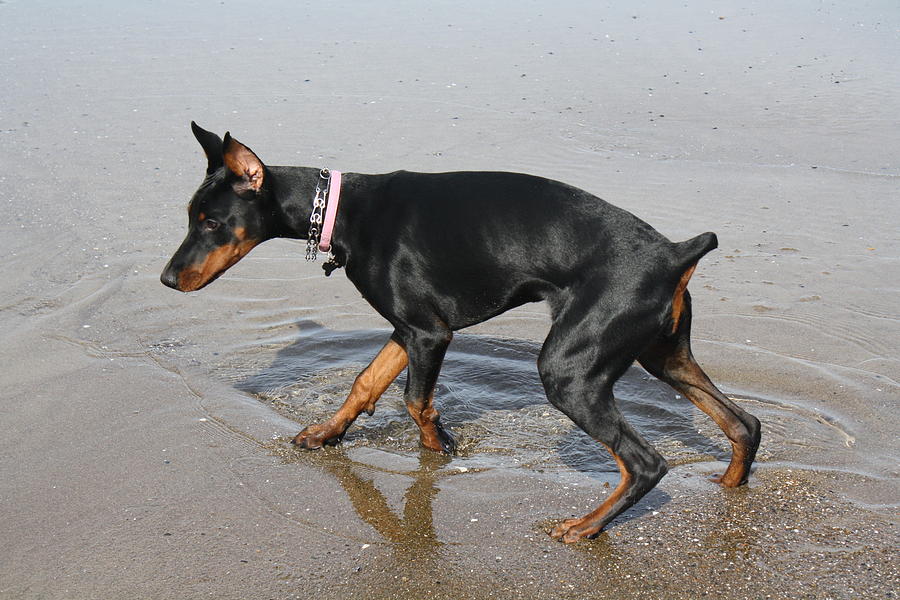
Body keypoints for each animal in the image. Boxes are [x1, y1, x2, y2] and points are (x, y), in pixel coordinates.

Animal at [160, 123, 760, 544]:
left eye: (210, 222)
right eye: (190, 215)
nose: (166, 279)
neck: (340, 211)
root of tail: (673, 252)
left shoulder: (430, 333)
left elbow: (415, 402)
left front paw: (439, 448)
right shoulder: (409, 328)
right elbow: (366, 381)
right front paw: (326, 433)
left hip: (570, 369)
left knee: (646, 462)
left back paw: (585, 527)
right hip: (663, 354)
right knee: (743, 423)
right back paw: (729, 490)